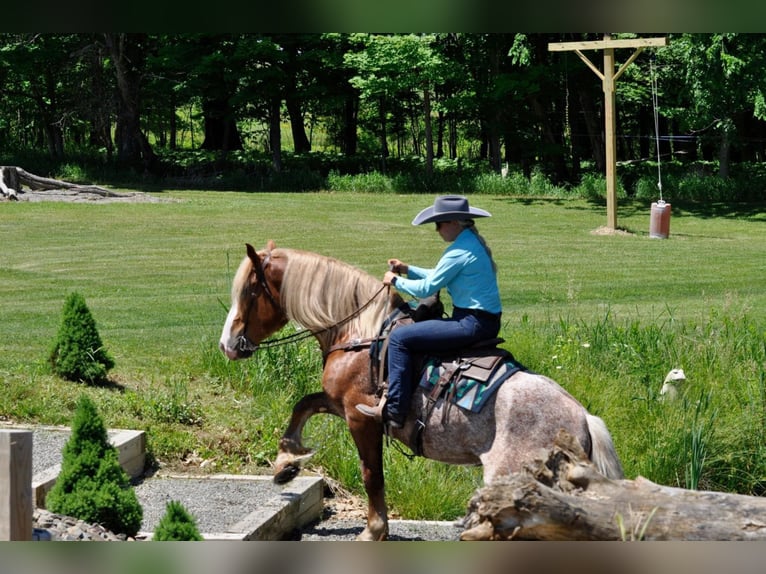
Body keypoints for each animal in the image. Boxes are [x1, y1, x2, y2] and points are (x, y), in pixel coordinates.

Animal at [219, 241, 628, 544]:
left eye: (250, 290)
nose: (227, 344)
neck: (360, 333)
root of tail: (582, 418)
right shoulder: (339, 403)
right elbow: (303, 405)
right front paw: (286, 463)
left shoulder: (359, 417)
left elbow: (371, 474)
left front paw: (374, 531)